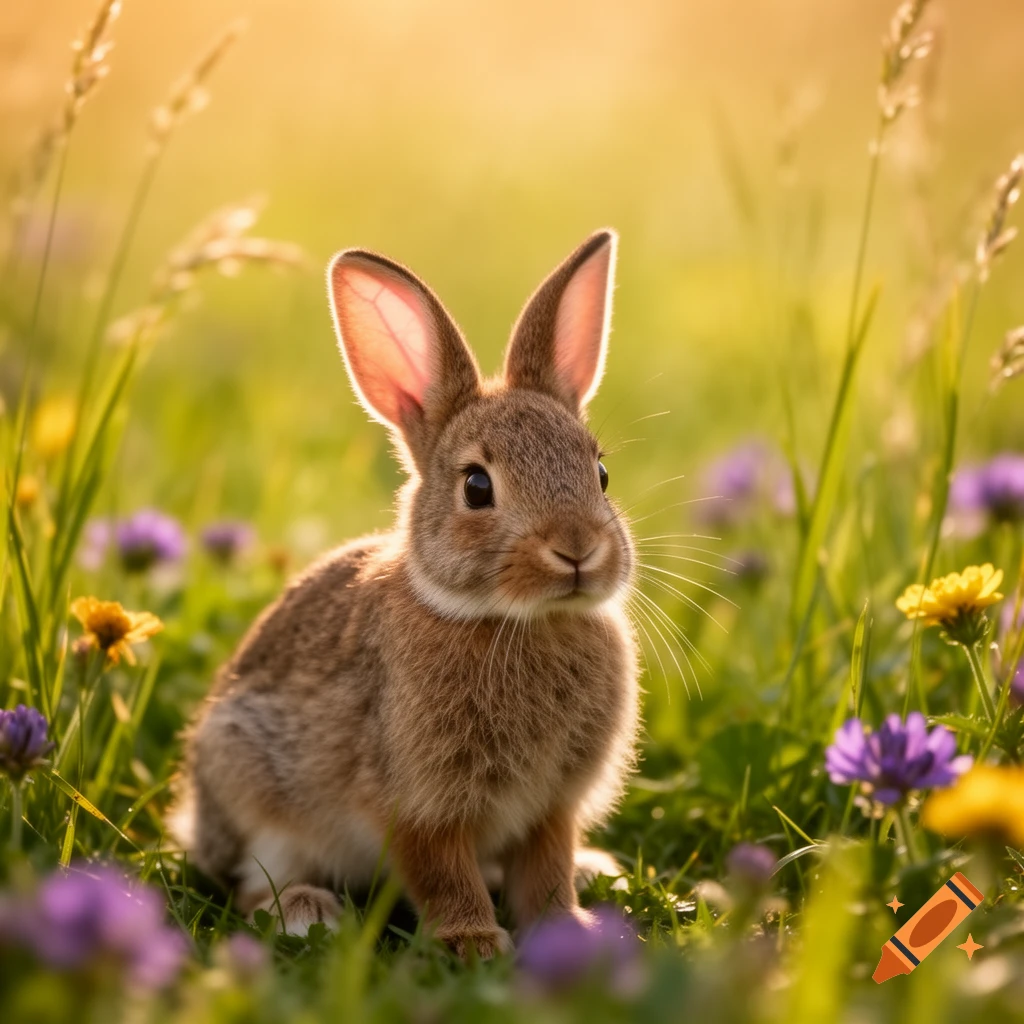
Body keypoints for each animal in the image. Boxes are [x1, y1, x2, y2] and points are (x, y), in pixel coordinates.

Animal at [174, 229, 640, 959]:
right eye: (477, 487)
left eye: (601, 473)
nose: (577, 549)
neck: (516, 618)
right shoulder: (417, 800)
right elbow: (442, 870)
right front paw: (473, 943)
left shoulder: (551, 806)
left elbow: (546, 870)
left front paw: (569, 930)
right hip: (249, 783)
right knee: (251, 887)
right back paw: (306, 911)